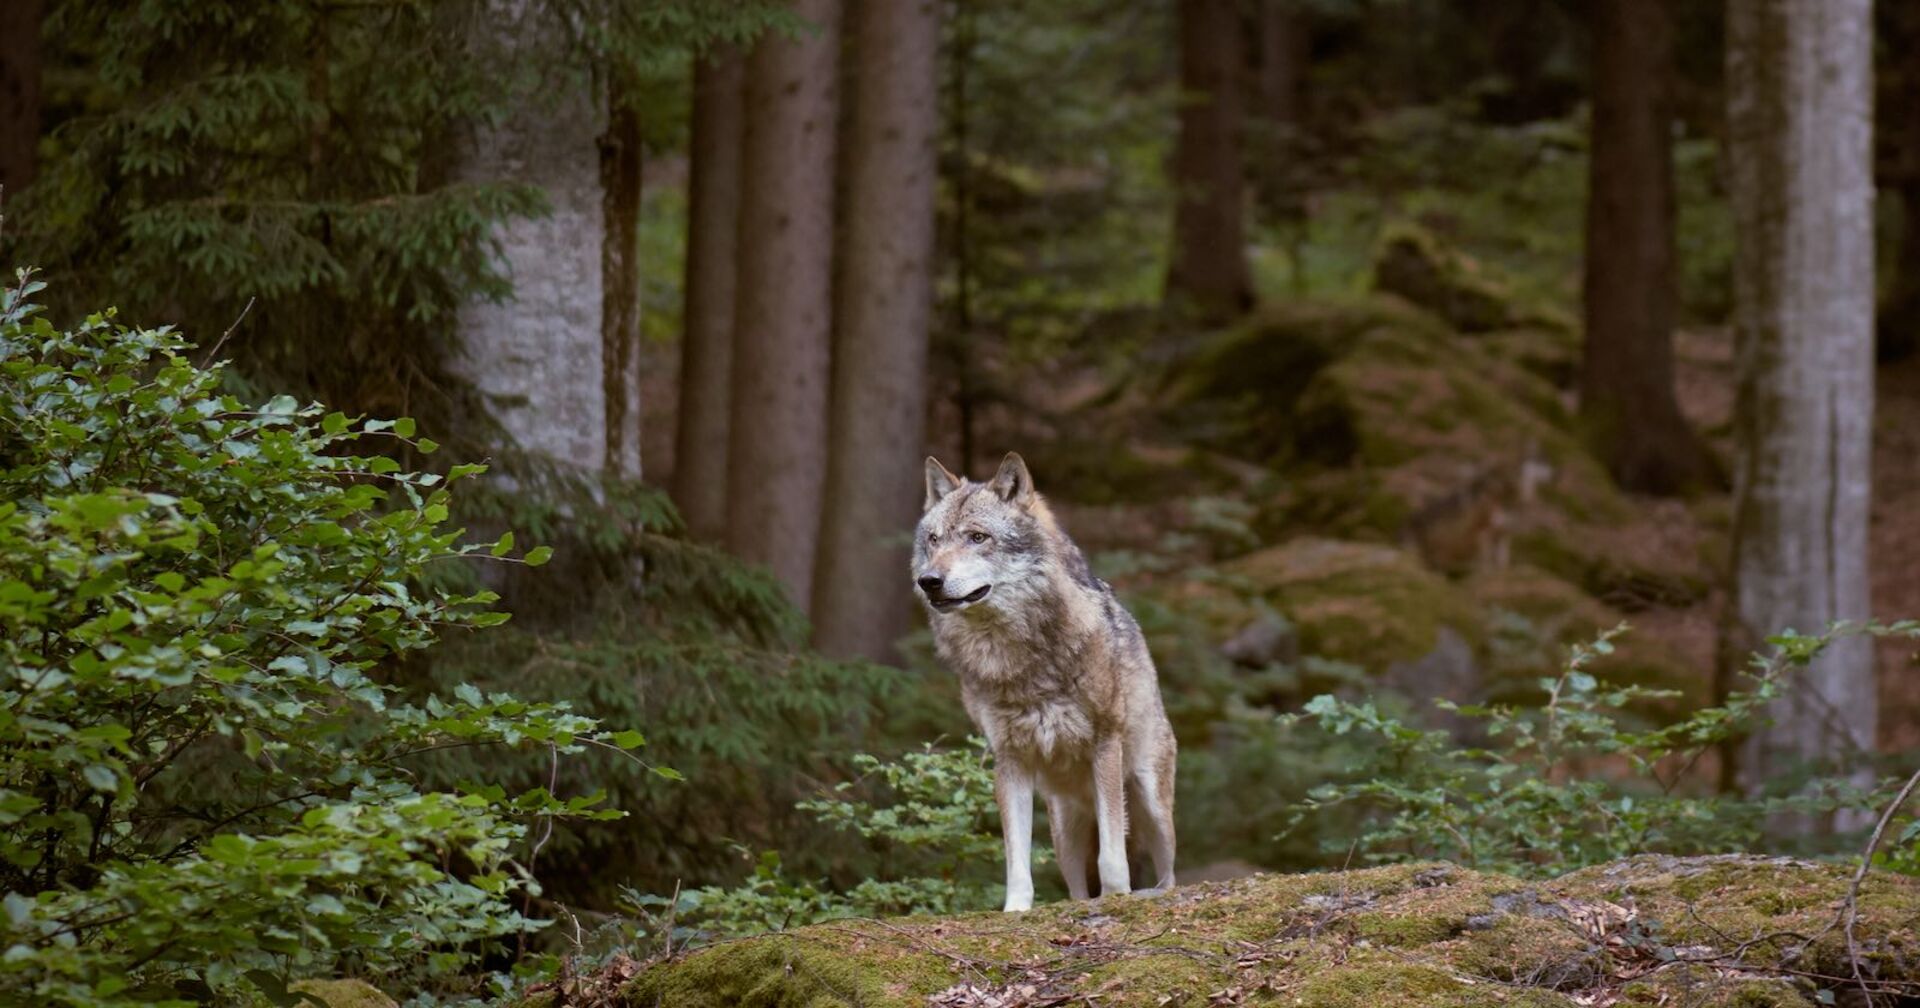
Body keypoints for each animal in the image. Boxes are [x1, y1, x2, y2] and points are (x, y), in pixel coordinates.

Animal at [914, 452, 1177, 912]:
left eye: (977, 537)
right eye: (933, 539)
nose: (928, 581)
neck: (1017, 659)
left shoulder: (1105, 742)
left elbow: (1112, 856)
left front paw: (1117, 897)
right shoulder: (1008, 758)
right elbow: (1016, 859)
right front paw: (1016, 910)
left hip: (1150, 804)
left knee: (1170, 874)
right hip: (1064, 832)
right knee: (1074, 888)